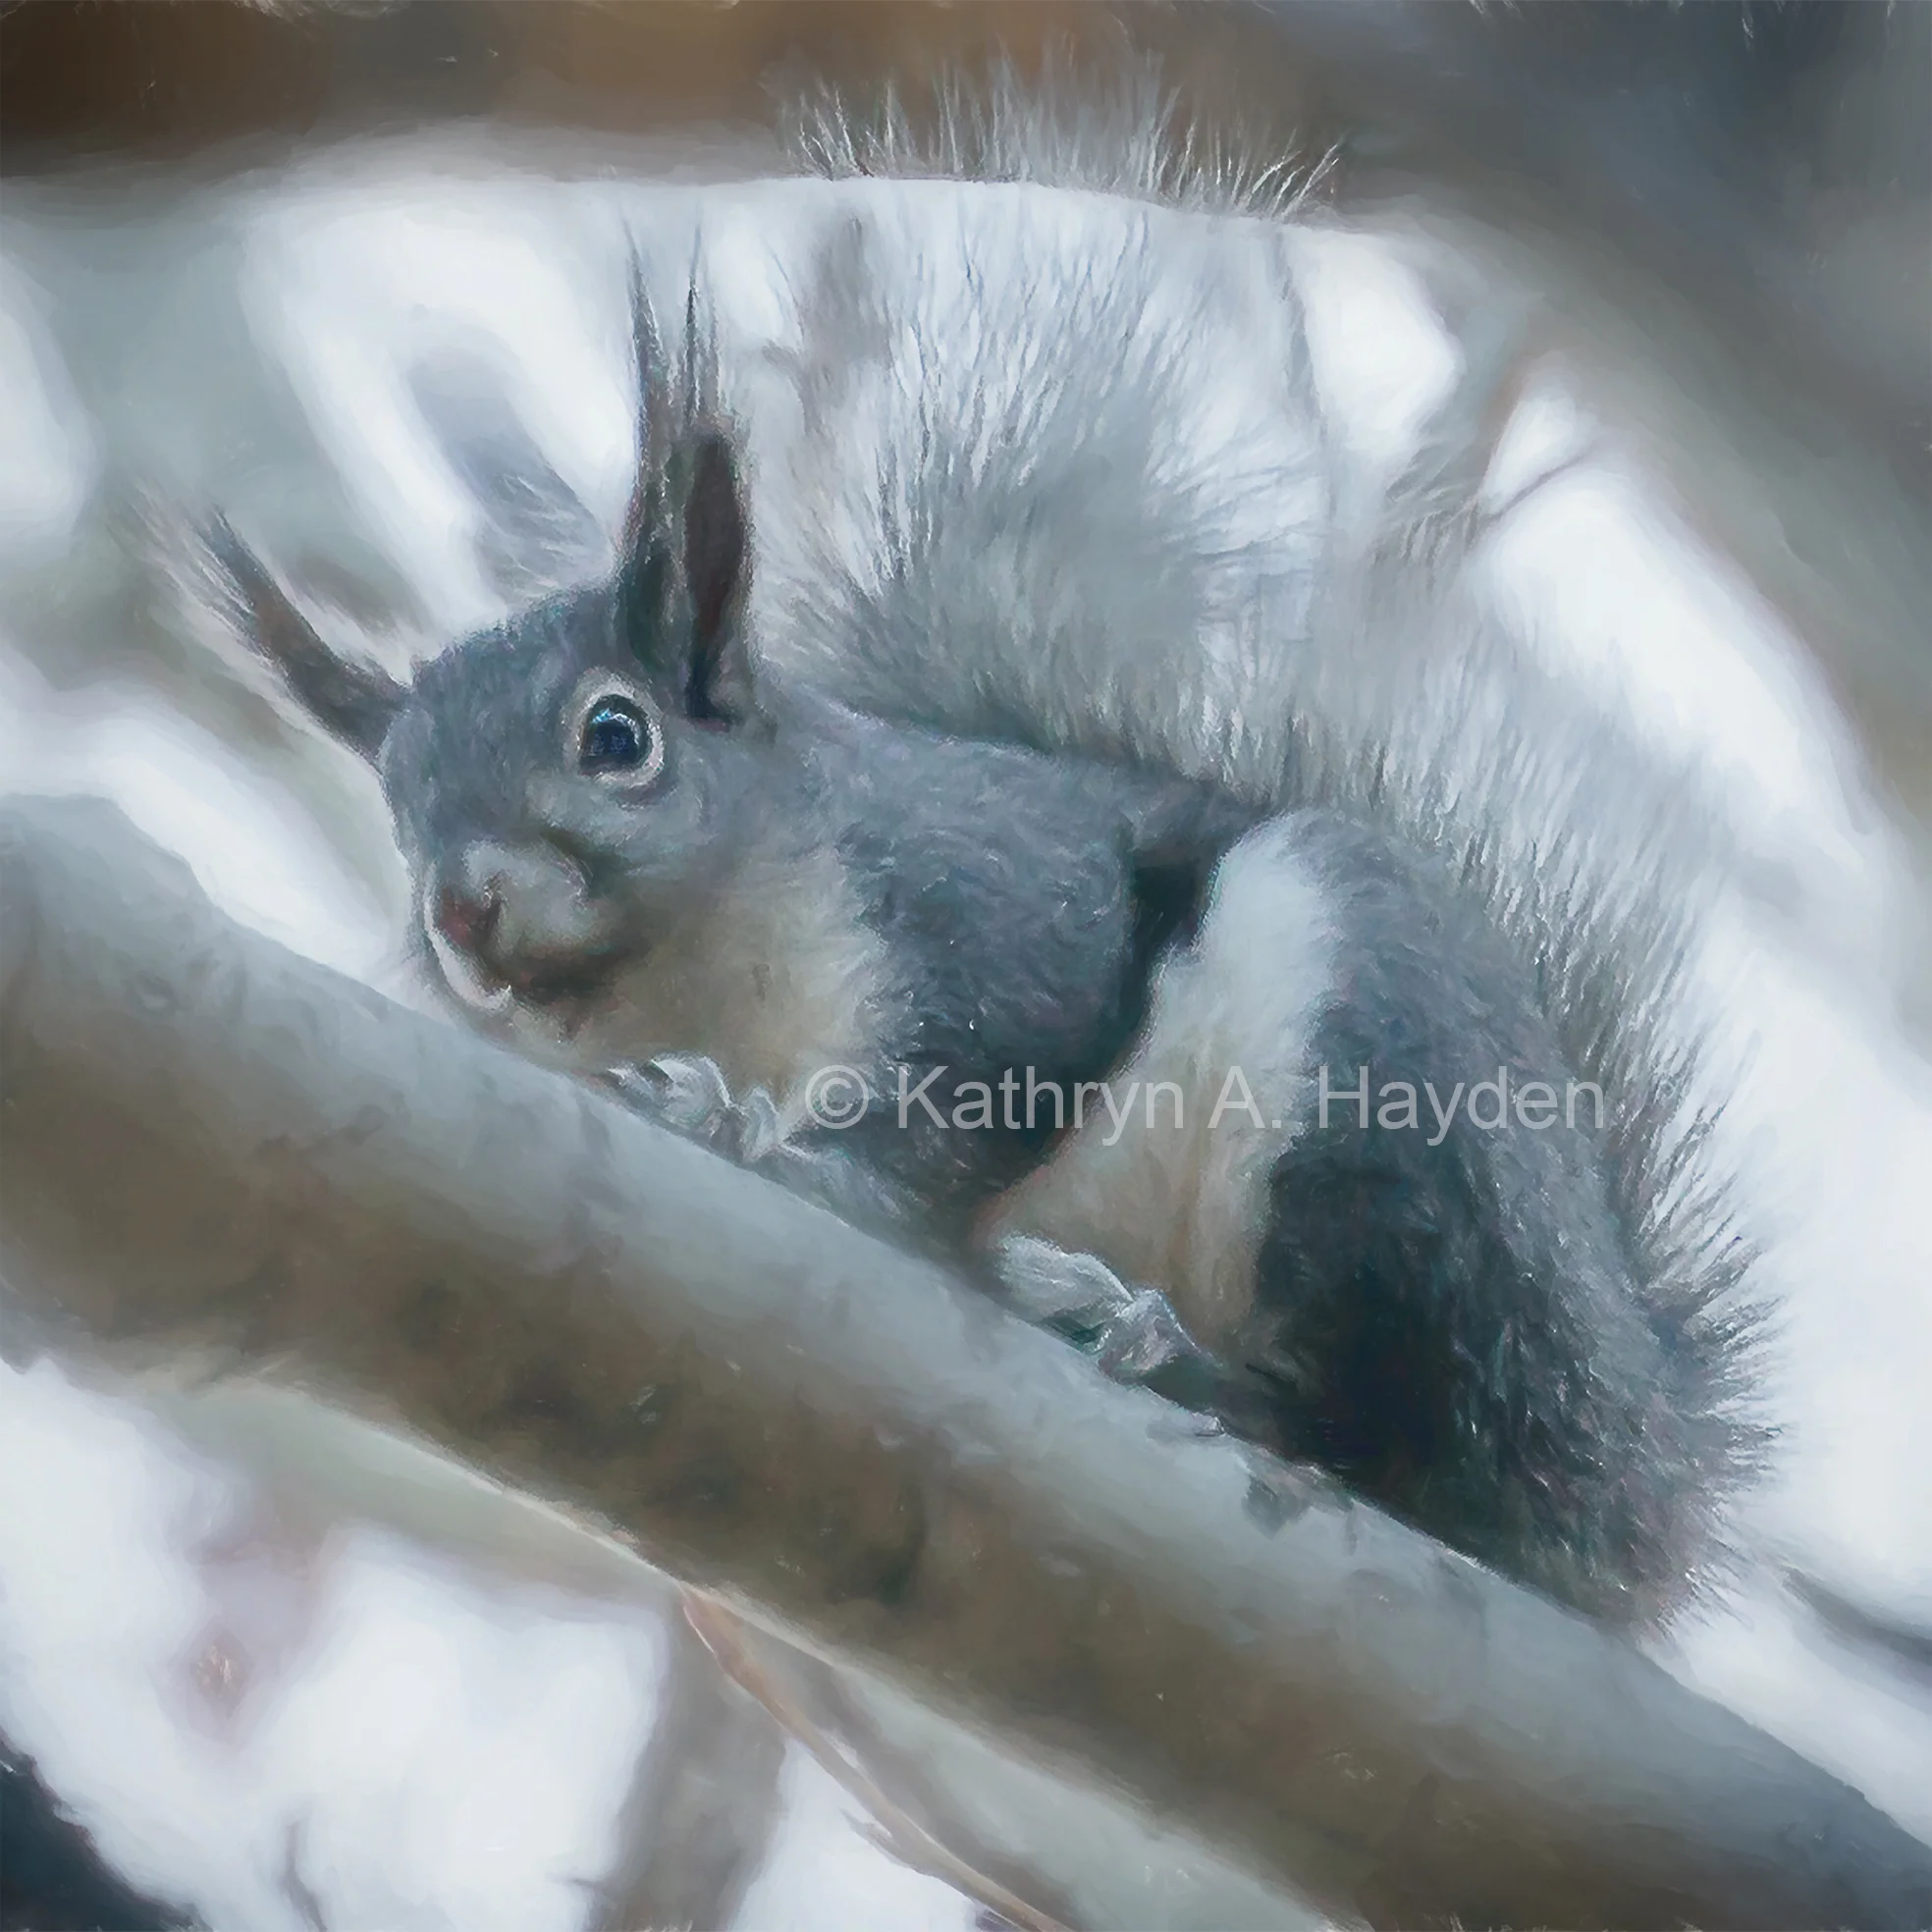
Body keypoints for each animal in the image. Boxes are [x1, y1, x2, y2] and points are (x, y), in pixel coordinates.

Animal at [202, 270, 1766, 1634]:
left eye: (616, 735)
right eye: (399, 820)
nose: (460, 913)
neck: (700, 981)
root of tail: (1645, 1462)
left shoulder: (999, 907)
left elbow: (978, 1084)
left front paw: (780, 1144)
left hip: (1392, 1112)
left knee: (1390, 1441)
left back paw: (1160, 1349)